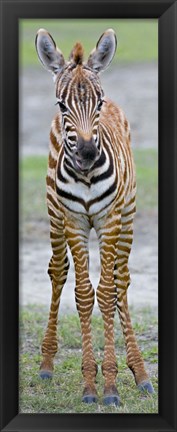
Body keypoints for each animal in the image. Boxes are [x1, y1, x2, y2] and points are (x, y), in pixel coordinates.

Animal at [35, 27, 153, 404]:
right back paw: (46, 364)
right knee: (58, 272)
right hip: (54, 215)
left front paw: (111, 384)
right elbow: (85, 294)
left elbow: (107, 292)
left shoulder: (109, 222)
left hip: (127, 216)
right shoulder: (73, 222)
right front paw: (91, 384)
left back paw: (141, 372)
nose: (87, 153)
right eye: (61, 105)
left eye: (97, 103)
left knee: (122, 281)